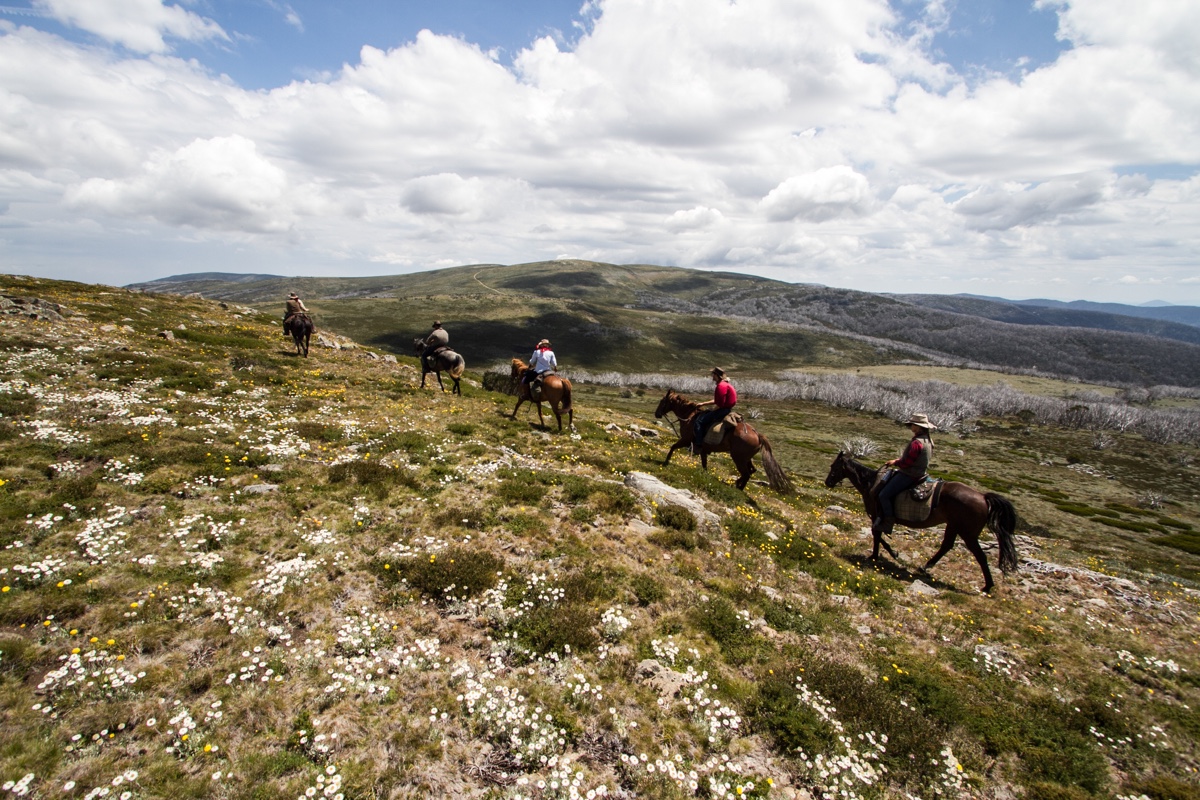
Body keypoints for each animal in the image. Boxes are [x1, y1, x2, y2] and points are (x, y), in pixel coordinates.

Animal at [652, 388, 792, 494]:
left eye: (662, 401)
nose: (656, 414)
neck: (689, 417)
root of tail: (757, 434)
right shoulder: (703, 449)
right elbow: (704, 464)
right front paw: (703, 475)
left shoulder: (686, 440)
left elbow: (673, 447)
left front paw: (666, 462)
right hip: (745, 458)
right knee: (752, 471)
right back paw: (738, 484)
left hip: (738, 458)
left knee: (746, 473)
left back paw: (738, 488)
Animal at [830, 450, 1017, 594]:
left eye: (834, 466)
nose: (827, 482)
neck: (871, 483)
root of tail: (983, 497)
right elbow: (878, 534)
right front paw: (890, 553)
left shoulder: (877, 515)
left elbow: (877, 534)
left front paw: (878, 555)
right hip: (953, 525)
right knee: (947, 546)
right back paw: (925, 567)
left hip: (967, 532)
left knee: (979, 555)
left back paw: (987, 586)